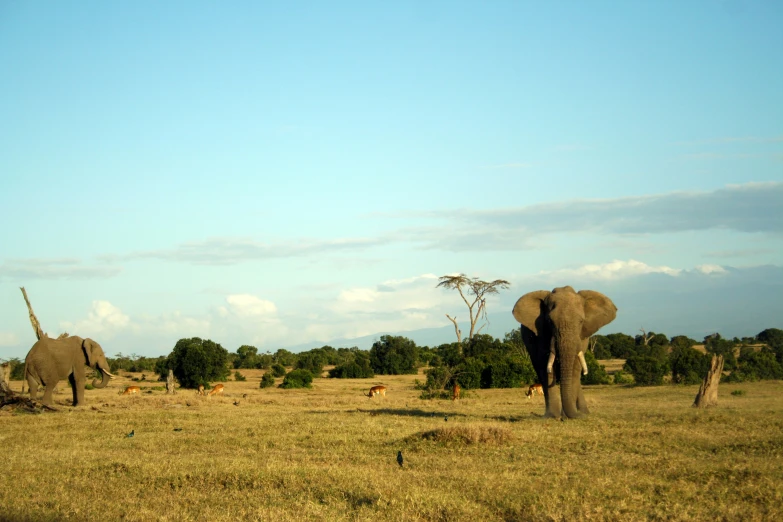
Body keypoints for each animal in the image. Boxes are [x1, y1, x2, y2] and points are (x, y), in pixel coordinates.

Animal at [516, 284, 620, 418]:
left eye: (581, 322)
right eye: (549, 322)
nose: (576, 416)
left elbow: (575, 368)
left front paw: (571, 416)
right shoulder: (540, 334)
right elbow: (545, 366)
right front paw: (552, 416)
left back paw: (582, 412)